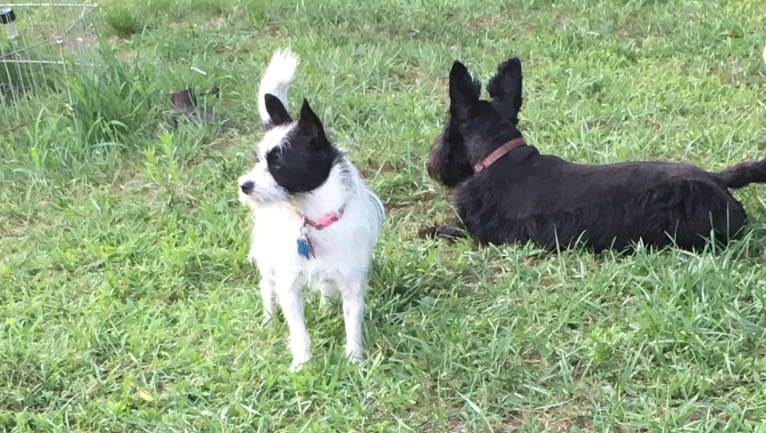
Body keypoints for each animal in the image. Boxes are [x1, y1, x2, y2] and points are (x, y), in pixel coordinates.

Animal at [238, 49, 384, 370]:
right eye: (257, 160)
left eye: (278, 163)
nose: (244, 185)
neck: (312, 217)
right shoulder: (289, 285)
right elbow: (298, 330)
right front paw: (302, 364)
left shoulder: (352, 283)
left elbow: (352, 324)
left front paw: (354, 360)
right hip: (268, 260)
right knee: (266, 287)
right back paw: (268, 319)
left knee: (326, 288)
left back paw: (327, 308)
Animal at [424, 57, 766, 251]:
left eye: (445, 126)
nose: (432, 164)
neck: (500, 155)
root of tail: (714, 178)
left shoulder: (469, 228)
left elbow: (439, 230)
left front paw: (427, 229)